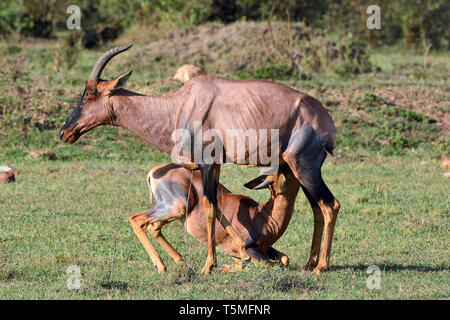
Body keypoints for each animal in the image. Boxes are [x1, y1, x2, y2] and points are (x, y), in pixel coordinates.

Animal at [60, 44, 342, 276]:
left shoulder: (206, 163)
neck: (181, 104)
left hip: (305, 166)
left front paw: (209, 265)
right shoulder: (214, 166)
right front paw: (235, 255)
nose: (65, 132)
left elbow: (209, 208)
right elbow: (217, 208)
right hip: (299, 169)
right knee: (317, 208)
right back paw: (309, 264)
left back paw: (321, 266)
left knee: (330, 205)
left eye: (89, 95)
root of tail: (325, 120)